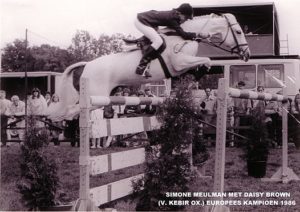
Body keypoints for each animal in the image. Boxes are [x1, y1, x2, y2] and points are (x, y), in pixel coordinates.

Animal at [49, 13, 251, 121]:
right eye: (239, 31)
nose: (247, 54)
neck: (183, 35)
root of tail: (88, 65)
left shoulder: (181, 66)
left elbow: (201, 64)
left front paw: (197, 77)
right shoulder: (179, 62)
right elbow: (207, 60)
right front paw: (202, 72)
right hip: (94, 98)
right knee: (71, 112)